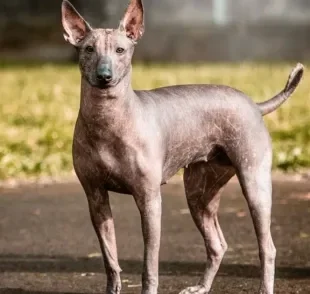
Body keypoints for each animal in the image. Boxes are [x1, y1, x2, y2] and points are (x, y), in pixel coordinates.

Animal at [61, 0, 304, 294]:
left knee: (267, 247)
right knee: (217, 245)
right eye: (89, 49)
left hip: (255, 184)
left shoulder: (150, 200)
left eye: (120, 50)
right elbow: (110, 259)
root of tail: (254, 105)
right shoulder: (95, 198)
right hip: (199, 194)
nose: (104, 76)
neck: (107, 118)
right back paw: (201, 287)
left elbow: (149, 264)